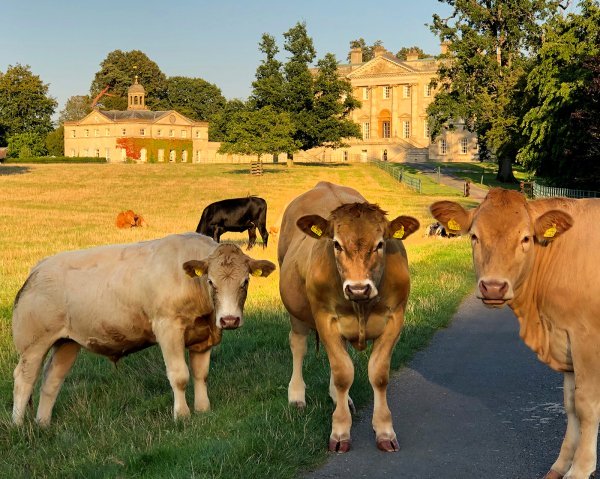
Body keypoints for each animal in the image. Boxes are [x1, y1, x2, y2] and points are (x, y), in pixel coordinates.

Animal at [11, 234, 276, 426]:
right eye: (211, 281)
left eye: (245, 282)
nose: (229, 320)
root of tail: (39, 268)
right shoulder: (168, 328)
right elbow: (180, 375)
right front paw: (182, 415)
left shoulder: (205, 337)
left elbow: (201, 374)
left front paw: (203, 410)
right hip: (33, 343)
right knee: (24, 379)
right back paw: (18, 425)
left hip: (67, 342)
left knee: (51, 380)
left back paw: (43, 424)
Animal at [278, 181, 420, 454]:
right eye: (336, 244)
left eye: (380, 244)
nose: (358, 288)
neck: (362, 305)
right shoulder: (325, 319)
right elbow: (344, 374)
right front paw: (340, 432)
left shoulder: (395, 319)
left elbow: (378, 375)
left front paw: (384, 430)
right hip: (296, 312)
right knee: (298, 345)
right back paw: (297, 395)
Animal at [432, 188, 600, 479]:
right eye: (474, 236)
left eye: (525, 238)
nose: (493, 287)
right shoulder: (565, 338)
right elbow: (570, 403)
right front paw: (561, 464)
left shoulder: (587, 338)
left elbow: (586, 404)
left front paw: (580, 468)